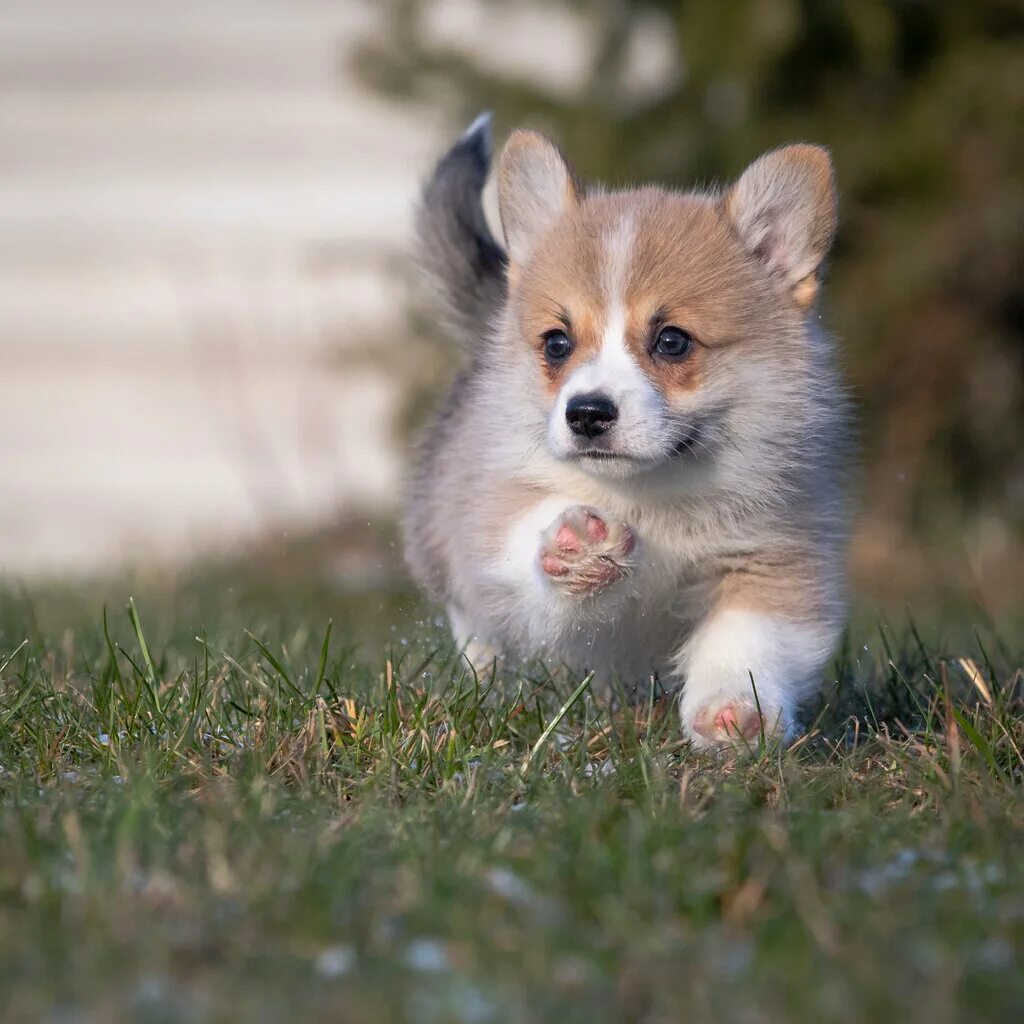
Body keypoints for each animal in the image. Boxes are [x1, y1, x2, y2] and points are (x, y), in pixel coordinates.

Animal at [403, 116, 851, 749]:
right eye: (557, 342)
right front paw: (577, 547)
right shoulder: (499, 515)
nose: (587, 413)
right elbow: (525, 543)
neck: (655, 493)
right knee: (477, 625)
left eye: (672, 340)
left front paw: (734, 712)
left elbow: (749, 636)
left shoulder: (771, 557)